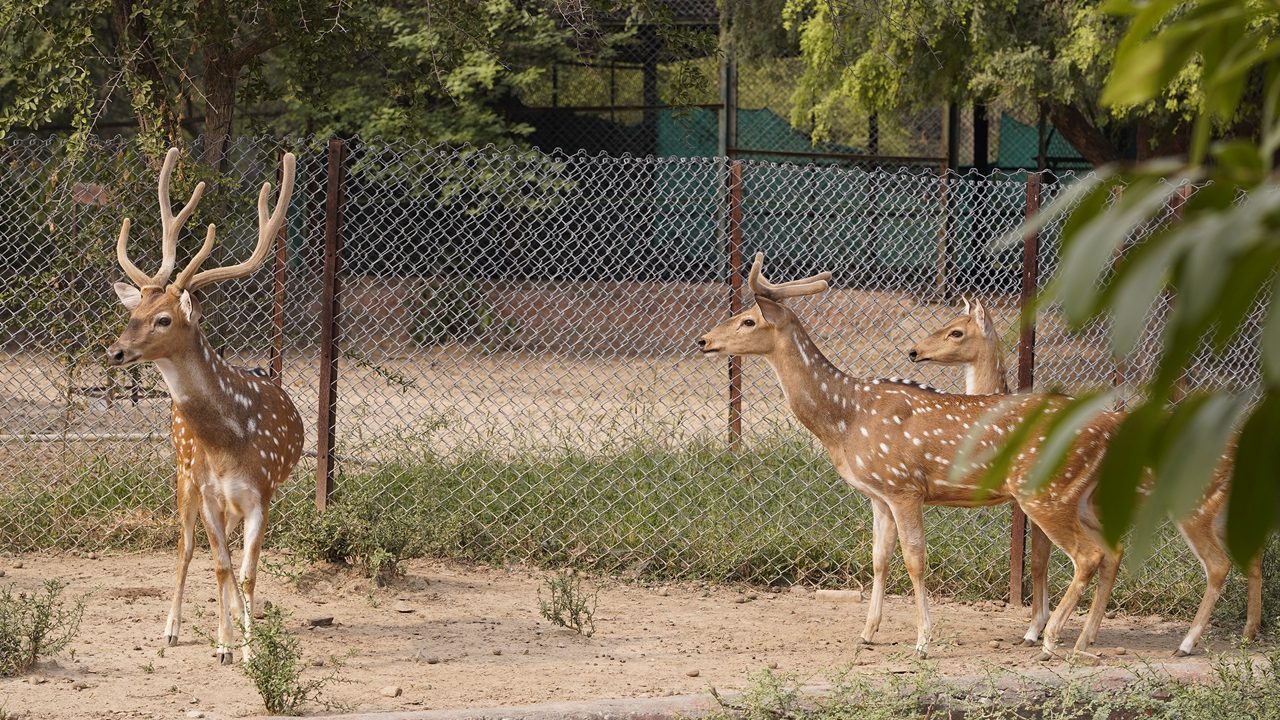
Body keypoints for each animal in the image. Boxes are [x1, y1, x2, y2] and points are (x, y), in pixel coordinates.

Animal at [107, 146, 302, 661]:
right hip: (182, 471)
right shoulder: (210, 489)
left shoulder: (261, 493)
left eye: (163, 319)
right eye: (132, 312)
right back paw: (172, 628)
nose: (115, 351)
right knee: (186, 547)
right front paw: (226, 646)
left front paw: (250, 648)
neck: (228, 442)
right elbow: (219, 565)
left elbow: (247, 572)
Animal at [701, 252, 1259, 655]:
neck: (846, 419)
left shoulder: (905, 487)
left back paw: (1066, 640)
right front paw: (868, 633)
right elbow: (879, 560)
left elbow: (916, 561)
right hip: (1084, 497)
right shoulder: (877, 493)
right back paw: (1087, 638)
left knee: (1103, 555)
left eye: (748, 319)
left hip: (1056, 493)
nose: (705, 339)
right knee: (1119, 552)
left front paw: (924, 641)